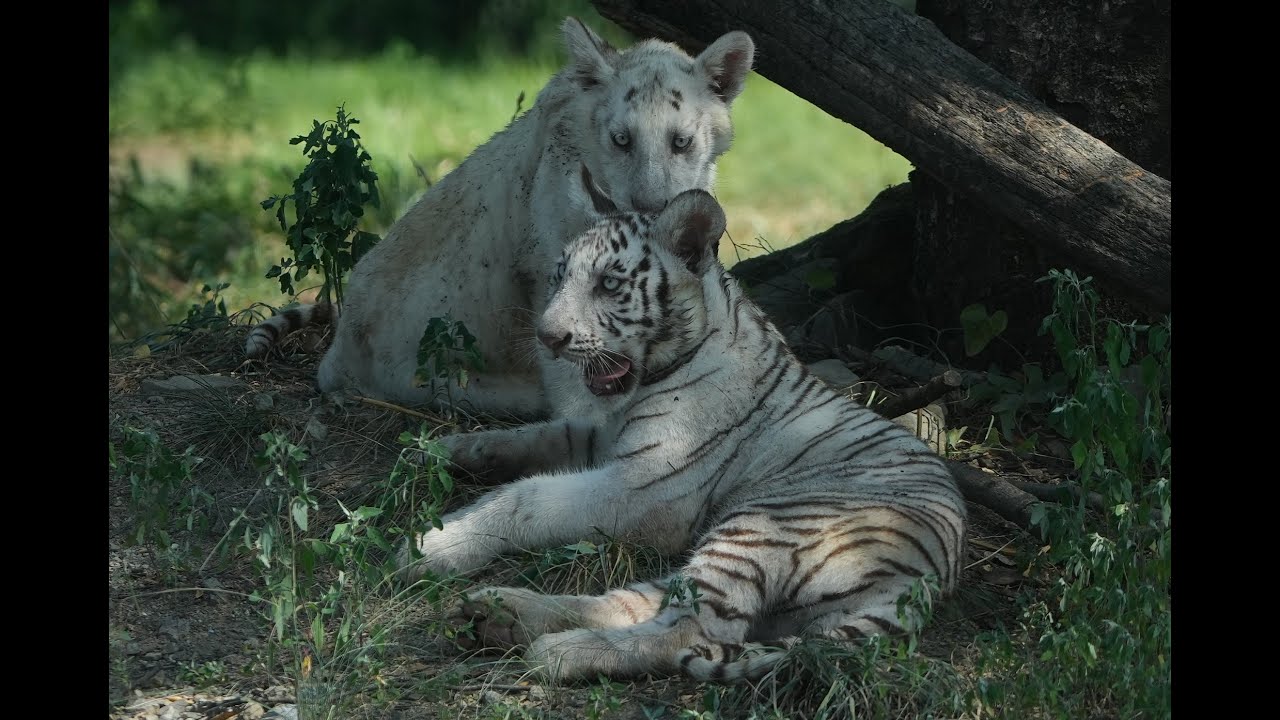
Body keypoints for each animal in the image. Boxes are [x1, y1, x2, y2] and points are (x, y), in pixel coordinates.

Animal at [397, 166, 968, 682]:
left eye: (608, 284)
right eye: (559, 277)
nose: (547, 338)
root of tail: (923, 584)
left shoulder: (645, 488)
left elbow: (527, 497)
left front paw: (435, 543)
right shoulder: (601, 436)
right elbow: (538, 436)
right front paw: (446, 449)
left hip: (761, 529)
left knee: (694, 631)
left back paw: (558, 652)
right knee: (641, 601)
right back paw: (502, 615)